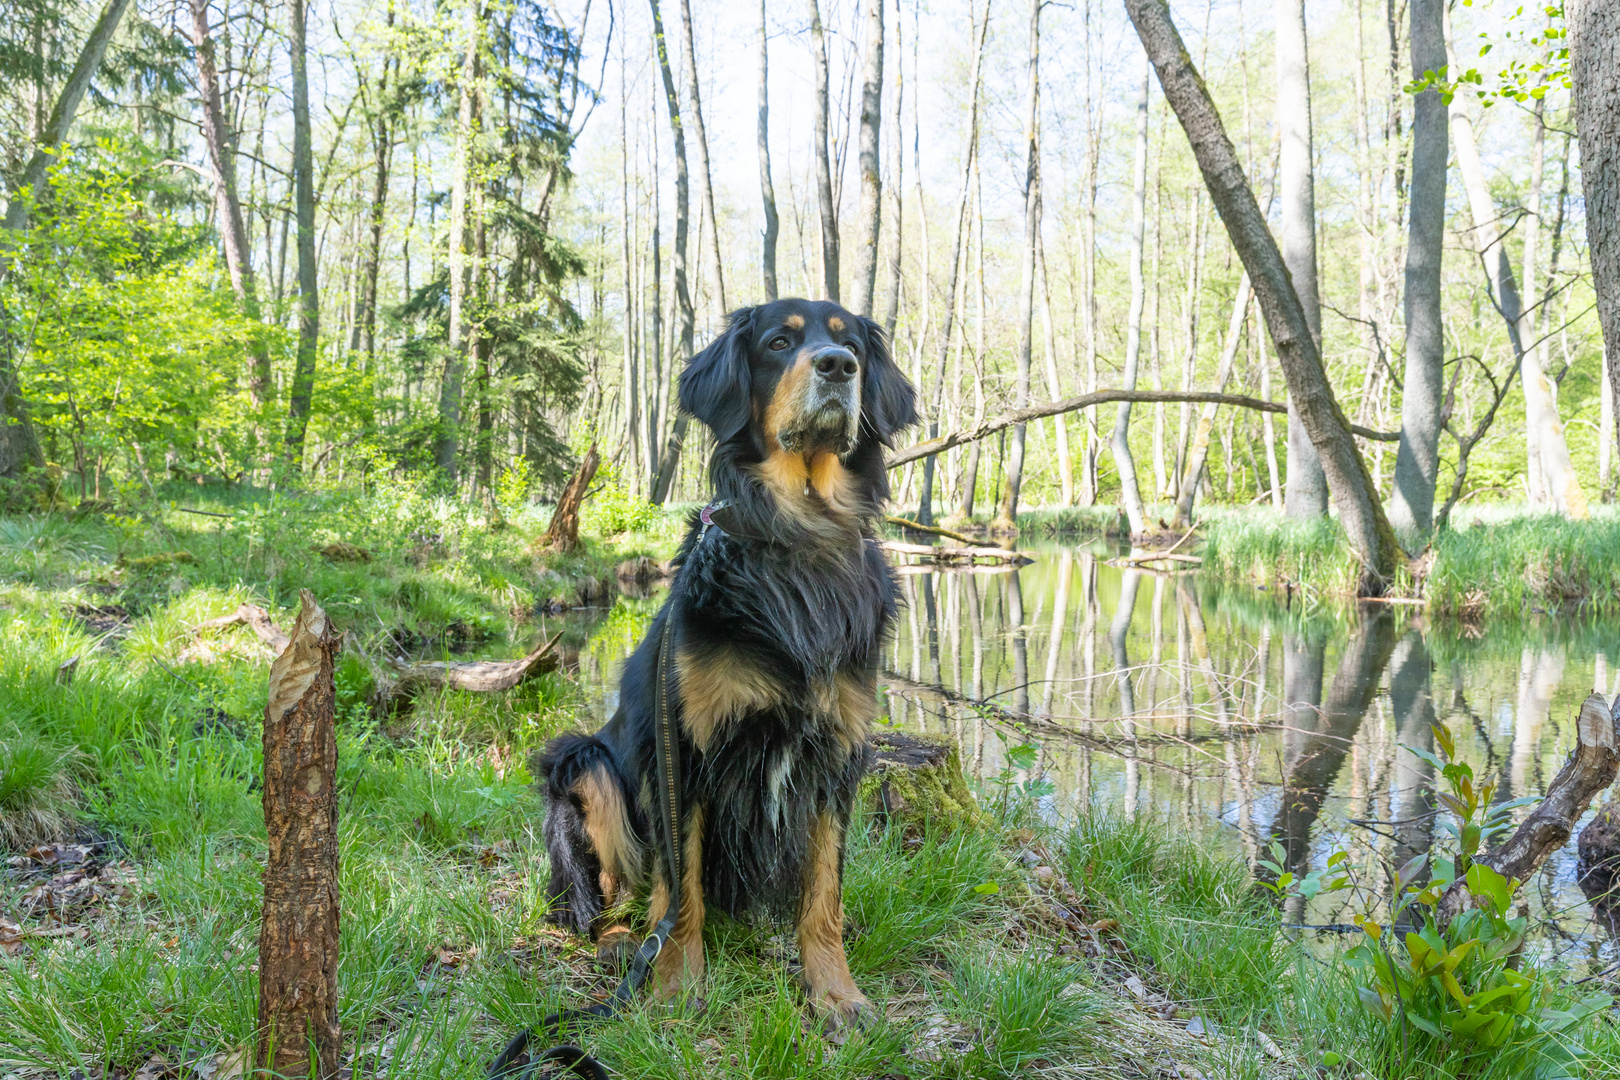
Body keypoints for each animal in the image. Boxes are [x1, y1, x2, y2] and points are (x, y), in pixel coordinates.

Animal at [544, 296, 920, 1029]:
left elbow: (824, 895)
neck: (798, 541)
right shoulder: (684, 751)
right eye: (778, 343)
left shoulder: (839, 756)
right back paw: (620, 943)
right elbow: (680, 885)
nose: (838, 367)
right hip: (583, 761)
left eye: (854, 344)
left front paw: (836, 992)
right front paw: (674, 985)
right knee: (592, 897)